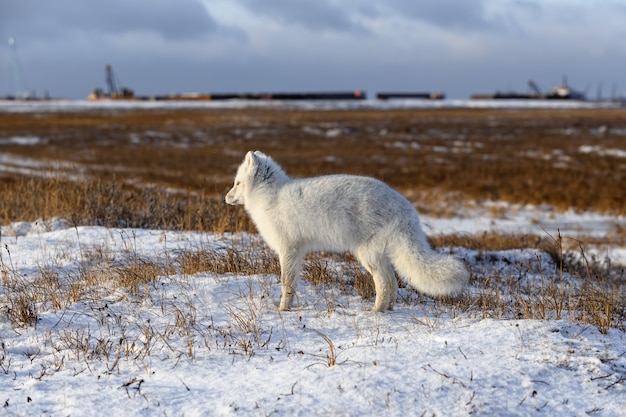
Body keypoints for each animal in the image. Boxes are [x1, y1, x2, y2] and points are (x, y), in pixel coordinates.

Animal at [224, 151, 468, 310]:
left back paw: (375, 312)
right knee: (393, 282)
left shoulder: (289, 250)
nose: (225, 198)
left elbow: (287, 283)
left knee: (383, 283)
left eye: (237, 183)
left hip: (367, 256)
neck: (271, 198)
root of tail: (405, 208)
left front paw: (283, 310)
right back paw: (388, 309)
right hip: (378, 256)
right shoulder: (297, 252)